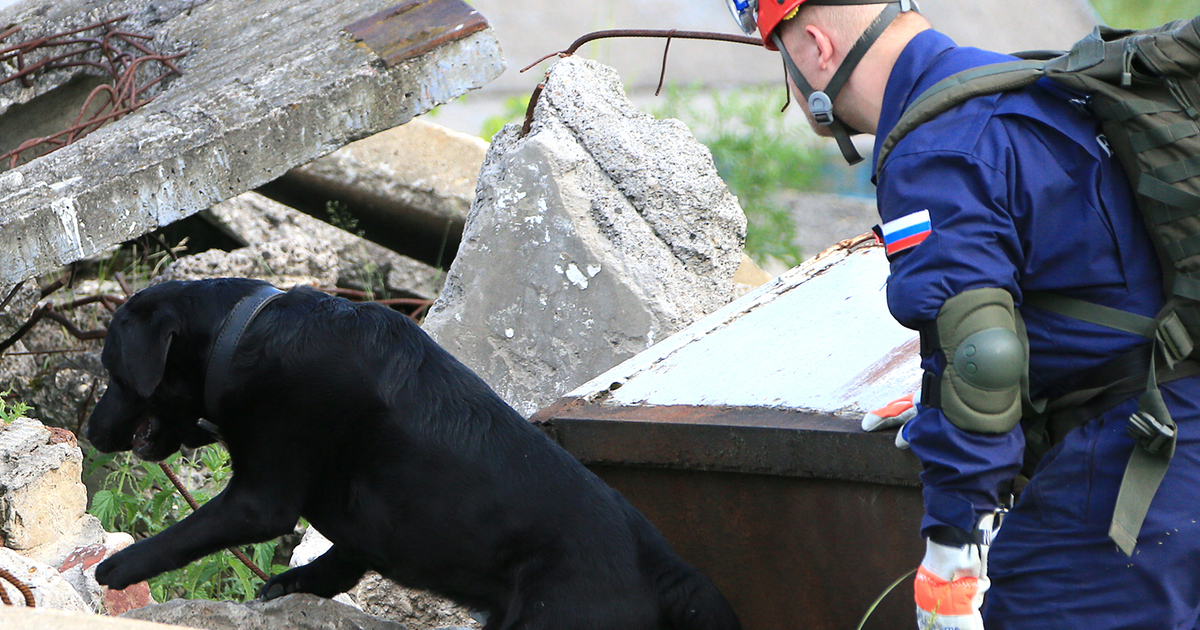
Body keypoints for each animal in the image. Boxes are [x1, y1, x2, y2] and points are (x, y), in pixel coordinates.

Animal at [87, 279, 739, 628]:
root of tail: (665, 568)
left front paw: (114, 570)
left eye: (113, 371)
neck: (244, 332)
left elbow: (181, 535)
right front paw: (295, 583)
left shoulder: (258, 497)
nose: (90, 432)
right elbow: (343, 557)